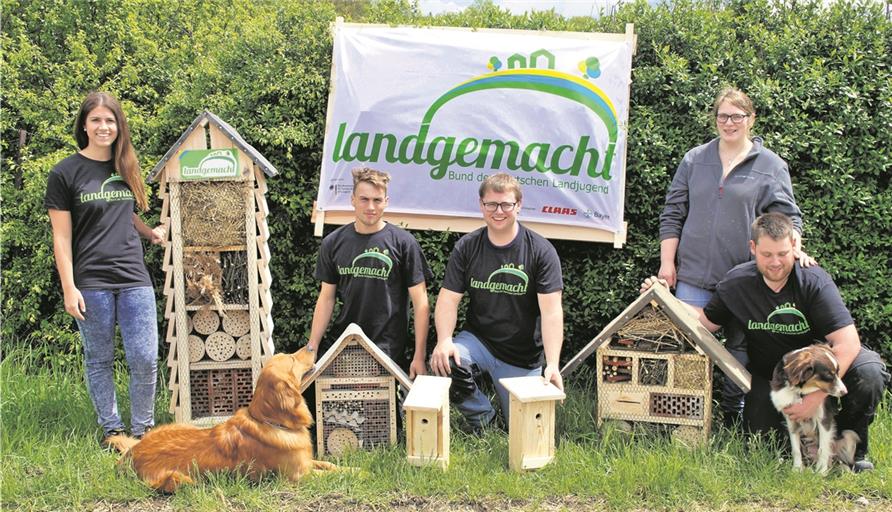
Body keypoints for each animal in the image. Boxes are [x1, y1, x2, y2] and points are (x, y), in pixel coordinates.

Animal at [768, 346, 856, 474]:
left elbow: (823, 449)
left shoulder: (824, 419)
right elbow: (796, 449)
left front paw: (821, 471)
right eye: (829, 376)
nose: (845, 392)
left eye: (838, 372)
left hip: (846, 438)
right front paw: (797, 469)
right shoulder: (791, 421)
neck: (800, 392)